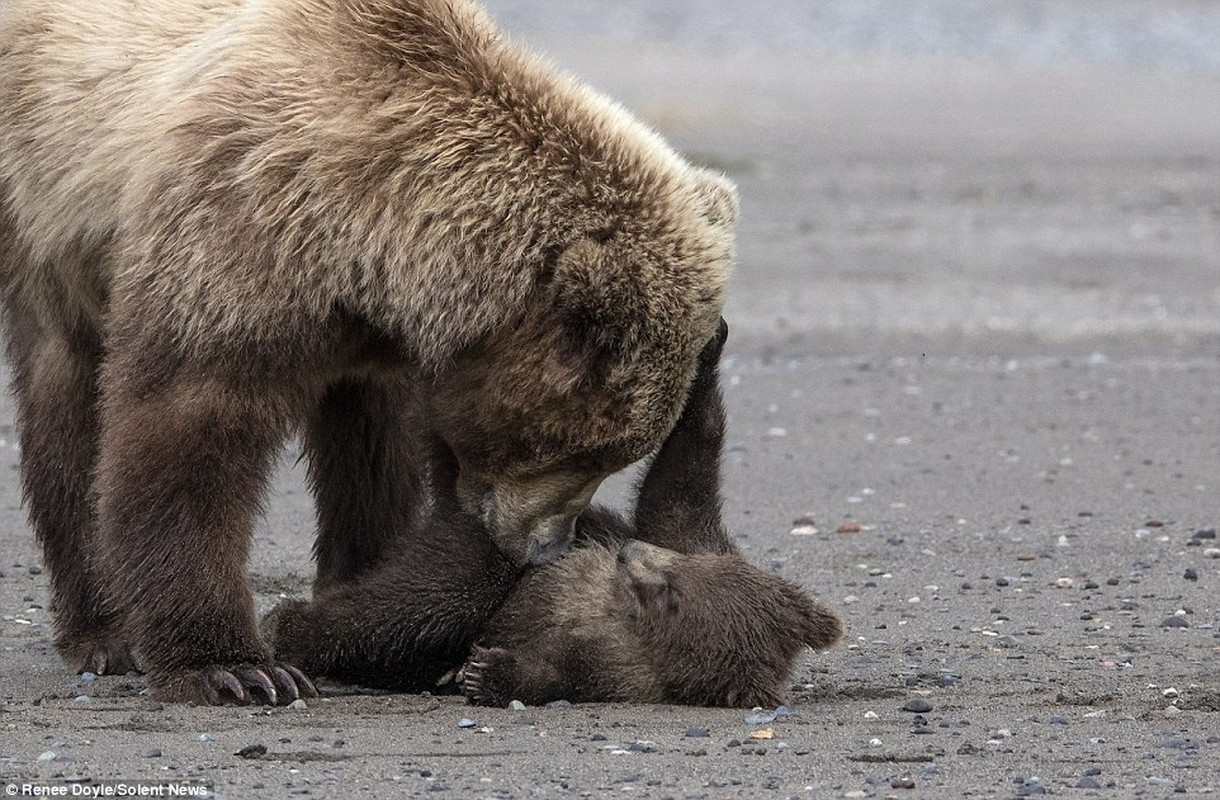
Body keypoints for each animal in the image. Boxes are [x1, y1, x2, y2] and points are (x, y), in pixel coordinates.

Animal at [0, 0, 732, 702]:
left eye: (615, 455)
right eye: (587, 452)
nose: (546, 548)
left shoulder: (373, 339)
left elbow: (375, 456)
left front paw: (365, 609)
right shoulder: (235, 231)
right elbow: (189, 432)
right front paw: (234, 667)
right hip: (48, 217)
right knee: (67, 406)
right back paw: (104, 632)